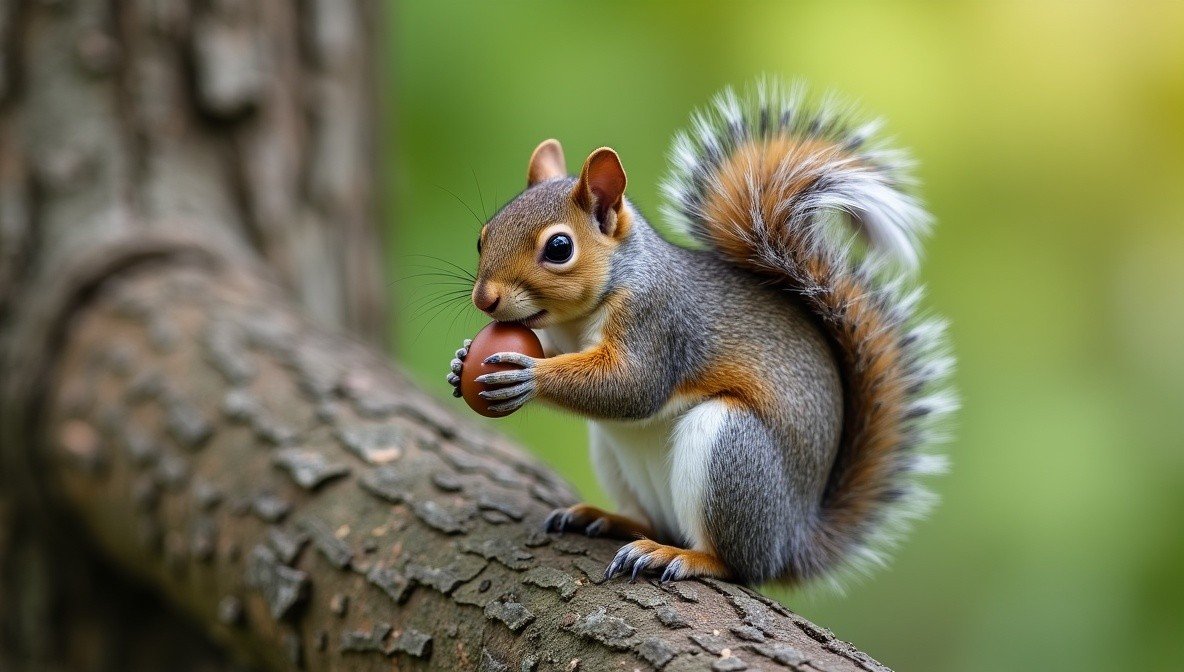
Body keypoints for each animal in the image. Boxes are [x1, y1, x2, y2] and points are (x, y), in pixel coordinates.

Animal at [446, 81, 955, 586]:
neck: (581, 316)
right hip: (615, 456)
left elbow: (632, 386)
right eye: (482, 236)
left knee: (736, 562)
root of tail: (791, 541)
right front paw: (461, 361)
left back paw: (681, 556)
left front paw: (528, 375)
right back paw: (610, 518)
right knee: (654, 520)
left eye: (558, 247)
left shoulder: (658, 320)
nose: (484, 299)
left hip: (730, 448)